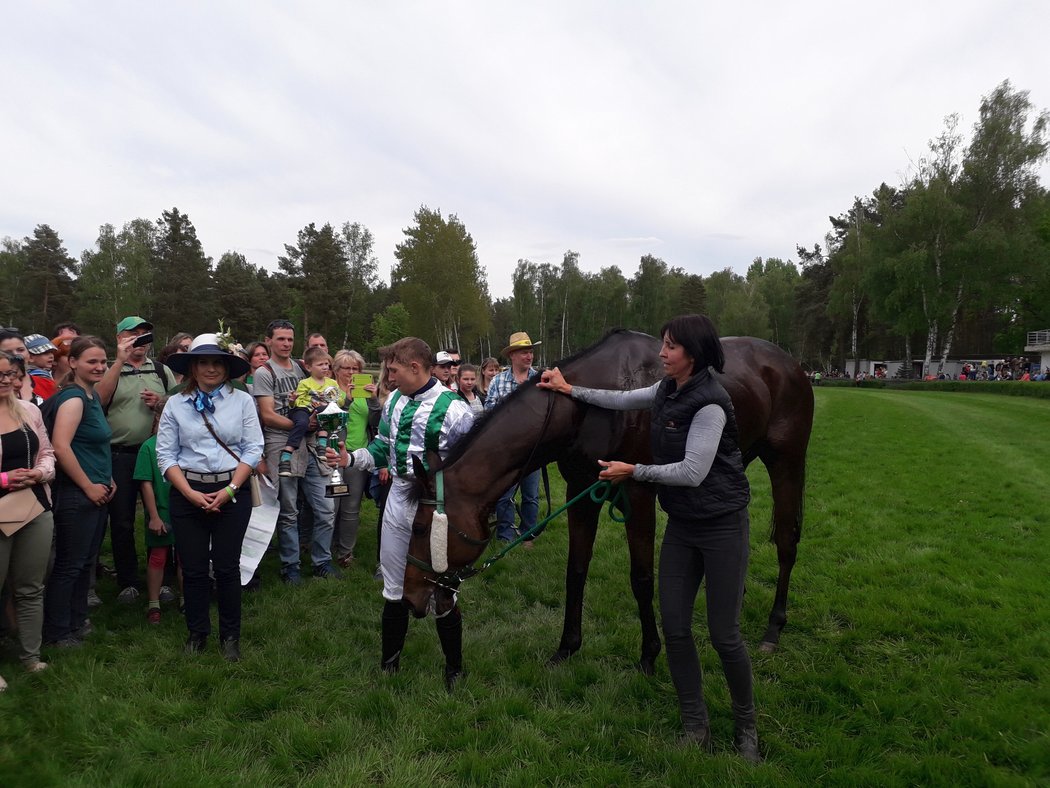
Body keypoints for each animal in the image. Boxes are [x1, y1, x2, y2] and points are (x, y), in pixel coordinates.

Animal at [401, 327, 810, 672]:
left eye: (419, 528)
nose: (409, 598)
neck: (588, 410)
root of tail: (791, 364)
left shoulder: (637, 494)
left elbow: (642, 577)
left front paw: (649, 654)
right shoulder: (581, 493)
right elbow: (576, 571)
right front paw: (567, 646)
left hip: (786, 462)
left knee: (787, 543)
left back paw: (774, 628)